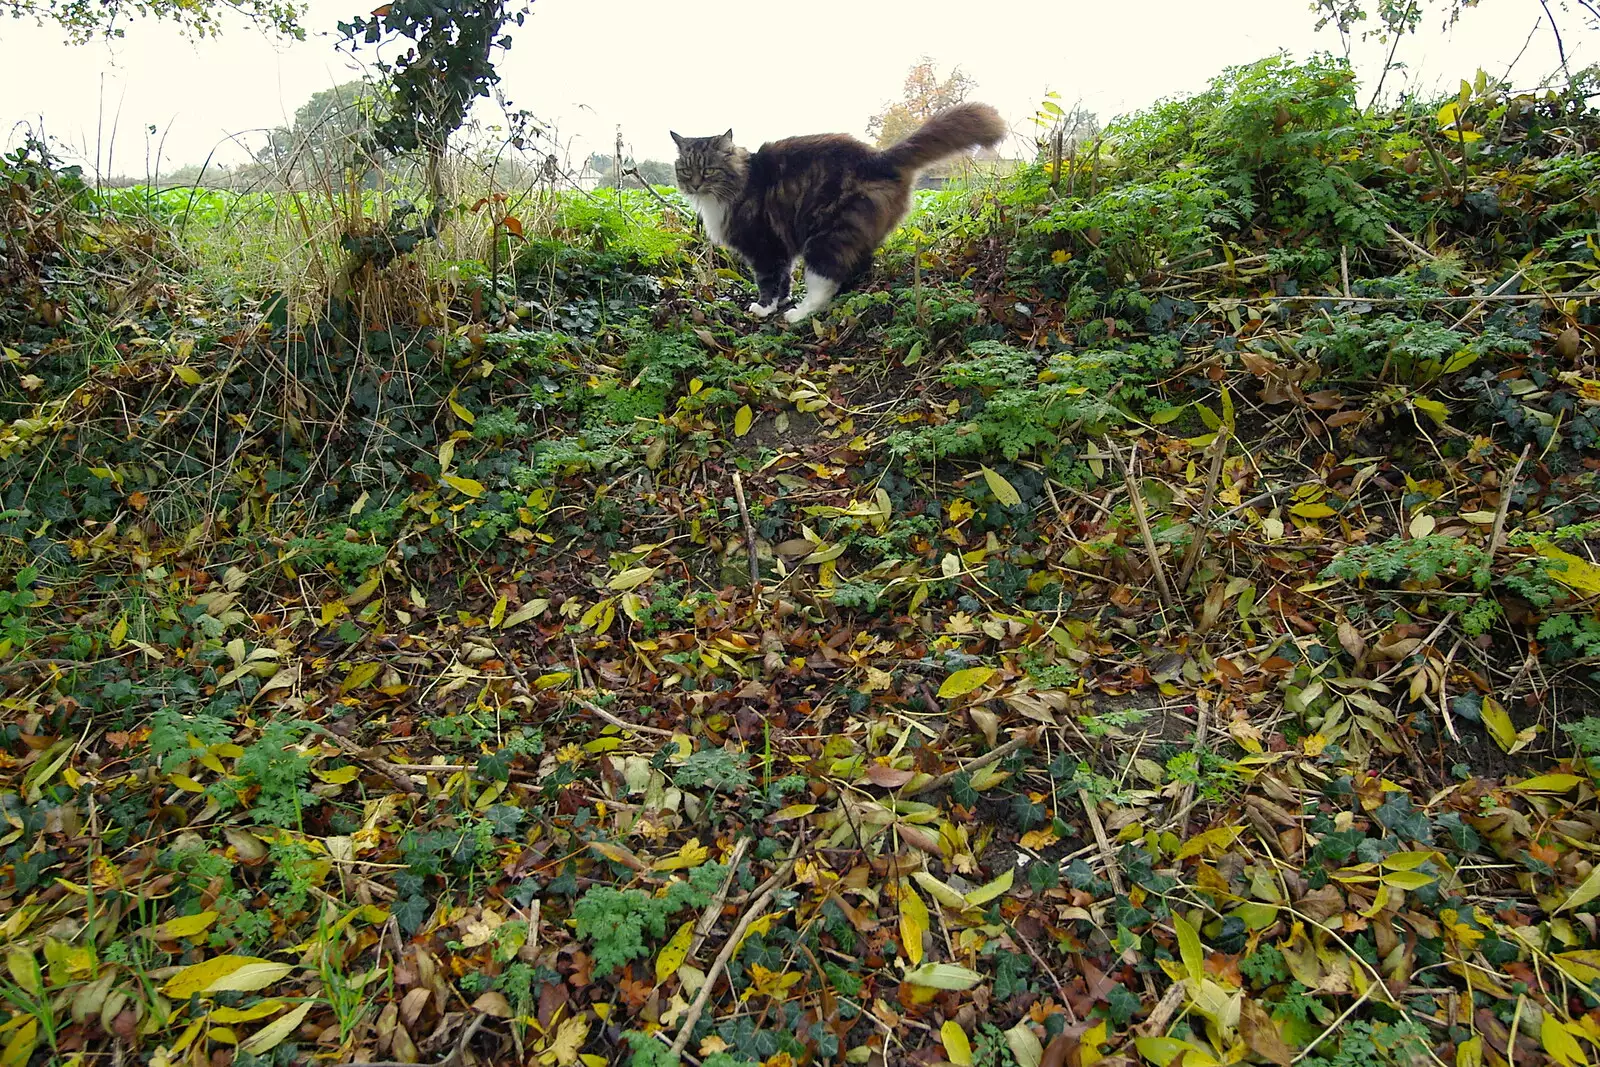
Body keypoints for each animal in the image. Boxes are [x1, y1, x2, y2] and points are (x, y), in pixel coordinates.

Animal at [672, 103, 1004, 323]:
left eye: (709, 170)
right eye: (686, 170)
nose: (695, 184)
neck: (740, 181)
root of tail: (878, 158)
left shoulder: (764, 246)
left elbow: (768, 280)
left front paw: (765, 307)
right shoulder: (781, 247)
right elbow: (784, 280)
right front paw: (780, 301)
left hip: (826, 236)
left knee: (825, 282)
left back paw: (799, 313)